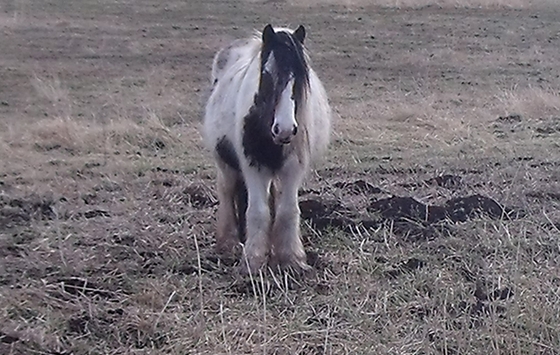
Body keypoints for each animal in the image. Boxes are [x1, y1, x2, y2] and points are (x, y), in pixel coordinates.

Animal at [203, 24, 330, 276]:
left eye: (299, 77)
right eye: (266, 73)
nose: (285, 129)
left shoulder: (293, 169)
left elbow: (287, 211)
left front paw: (292, 259)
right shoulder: (253, 165)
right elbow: (258, 211)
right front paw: (253, 261)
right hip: (225, 162)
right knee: (226, 191)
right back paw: (228, 243)